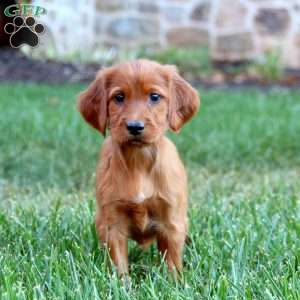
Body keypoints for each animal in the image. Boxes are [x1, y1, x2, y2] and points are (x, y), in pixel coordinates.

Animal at [78, 59, 199, 276]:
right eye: (119, 97)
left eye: (154, 96)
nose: (135, 127)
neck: (139, 161)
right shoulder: (112, 222)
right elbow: (118, 262)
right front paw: (120, 283)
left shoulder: (171, 221)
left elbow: (172, 261)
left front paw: (175, 282)